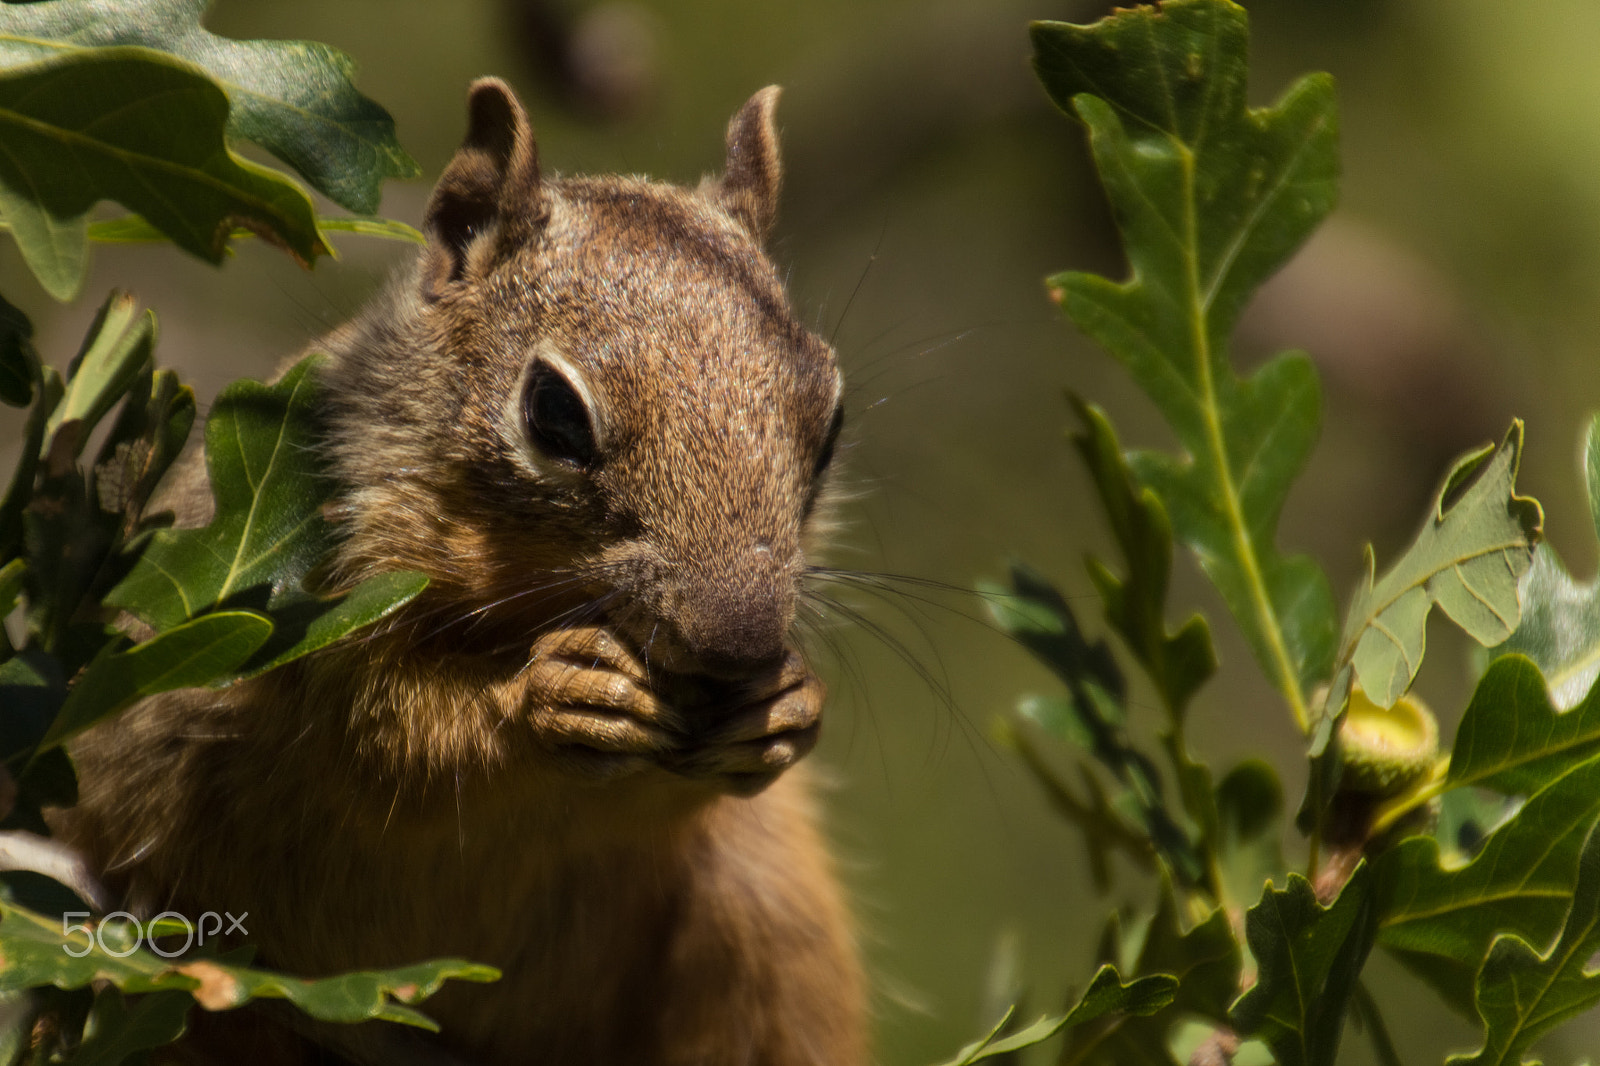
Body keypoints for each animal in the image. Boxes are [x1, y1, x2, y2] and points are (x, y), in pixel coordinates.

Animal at [55, 78, 865, 1066]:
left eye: (830, 419)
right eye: (553, 413)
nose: (736, 644)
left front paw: (786, 708)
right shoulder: (320, 604)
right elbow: (386, 730)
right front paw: (551, 696)